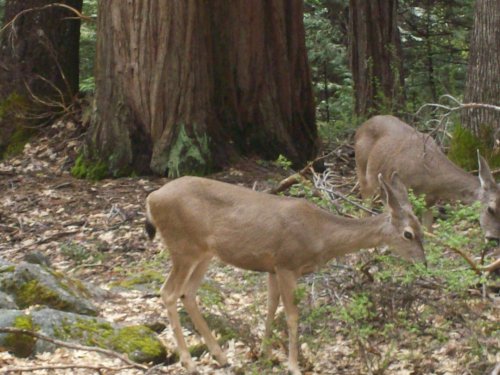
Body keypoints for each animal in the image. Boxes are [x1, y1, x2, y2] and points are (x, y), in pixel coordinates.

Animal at [145, 174, 426, 375]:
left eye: (421, 229)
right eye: (408, 234)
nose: (423, 262)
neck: (321, 235)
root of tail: (152, 199)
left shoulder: (272, 266)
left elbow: (271, 306)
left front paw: (265, 354)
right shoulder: (287, 264)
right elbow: (291, 314)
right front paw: (293, 366)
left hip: (204, 253)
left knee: (188, 293)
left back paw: (222, 358)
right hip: (183, 246)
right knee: (168, 292)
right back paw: (190, 363)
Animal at [354, 114, 500, 242]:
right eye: (490, 209)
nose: (494, 238)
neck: (432, 178)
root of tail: (361, 127)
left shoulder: (430, 200)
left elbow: (428, 230)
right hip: (361, 169)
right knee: (365, 206)